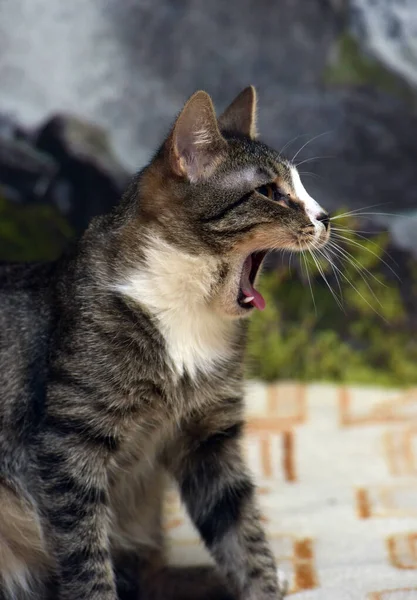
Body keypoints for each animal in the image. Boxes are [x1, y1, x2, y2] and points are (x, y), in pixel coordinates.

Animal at [0, 85, 330, 600]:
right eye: (270, 193)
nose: (326, 217)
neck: (189, 313)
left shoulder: (210, 437)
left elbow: (241, 531)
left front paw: (265, 585)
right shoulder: (67, 444)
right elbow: (84, 556)